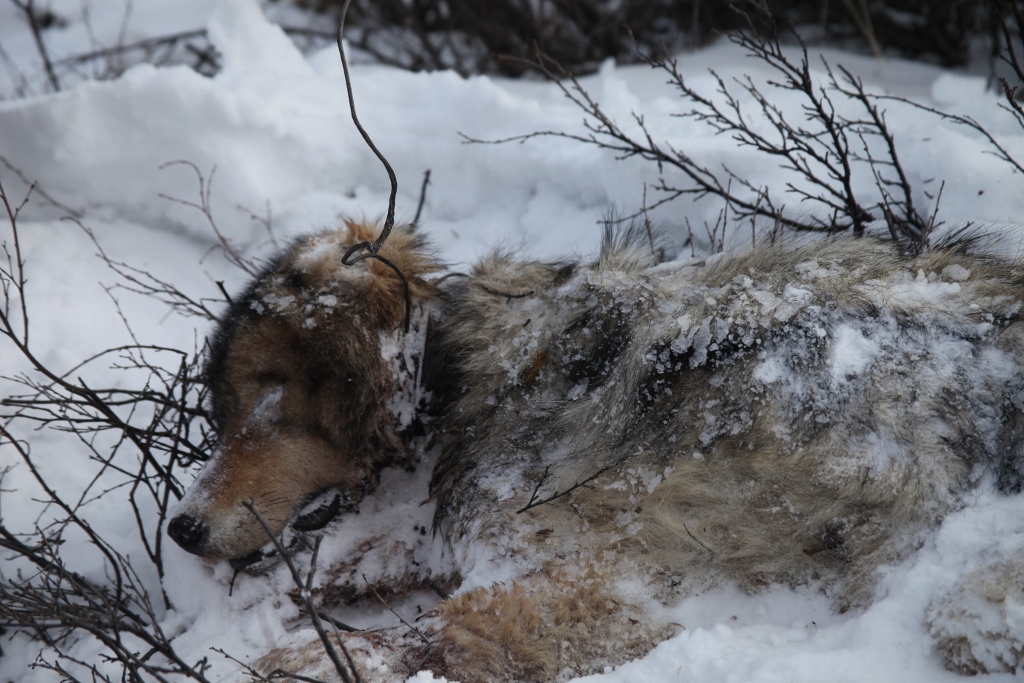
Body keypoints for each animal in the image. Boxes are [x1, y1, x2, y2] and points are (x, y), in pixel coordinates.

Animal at [167, 222, 1024, 679]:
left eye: (270, 399)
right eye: (226, 410)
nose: (180, 528)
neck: (472, 386)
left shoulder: (613, 578)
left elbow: (450, 622)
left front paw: (311, 657)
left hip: (953, 587)